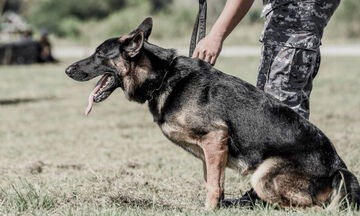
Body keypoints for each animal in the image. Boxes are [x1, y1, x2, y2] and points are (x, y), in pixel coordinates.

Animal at [65, 17, 360, 210]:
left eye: (99, 54)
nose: (67, 70)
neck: (163, 76)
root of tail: (338, 167)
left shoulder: (215, 137)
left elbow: (214, 185)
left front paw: (209, 209)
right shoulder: (210, 149)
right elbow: (212, 180)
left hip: (263, 175)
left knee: (312, 208)